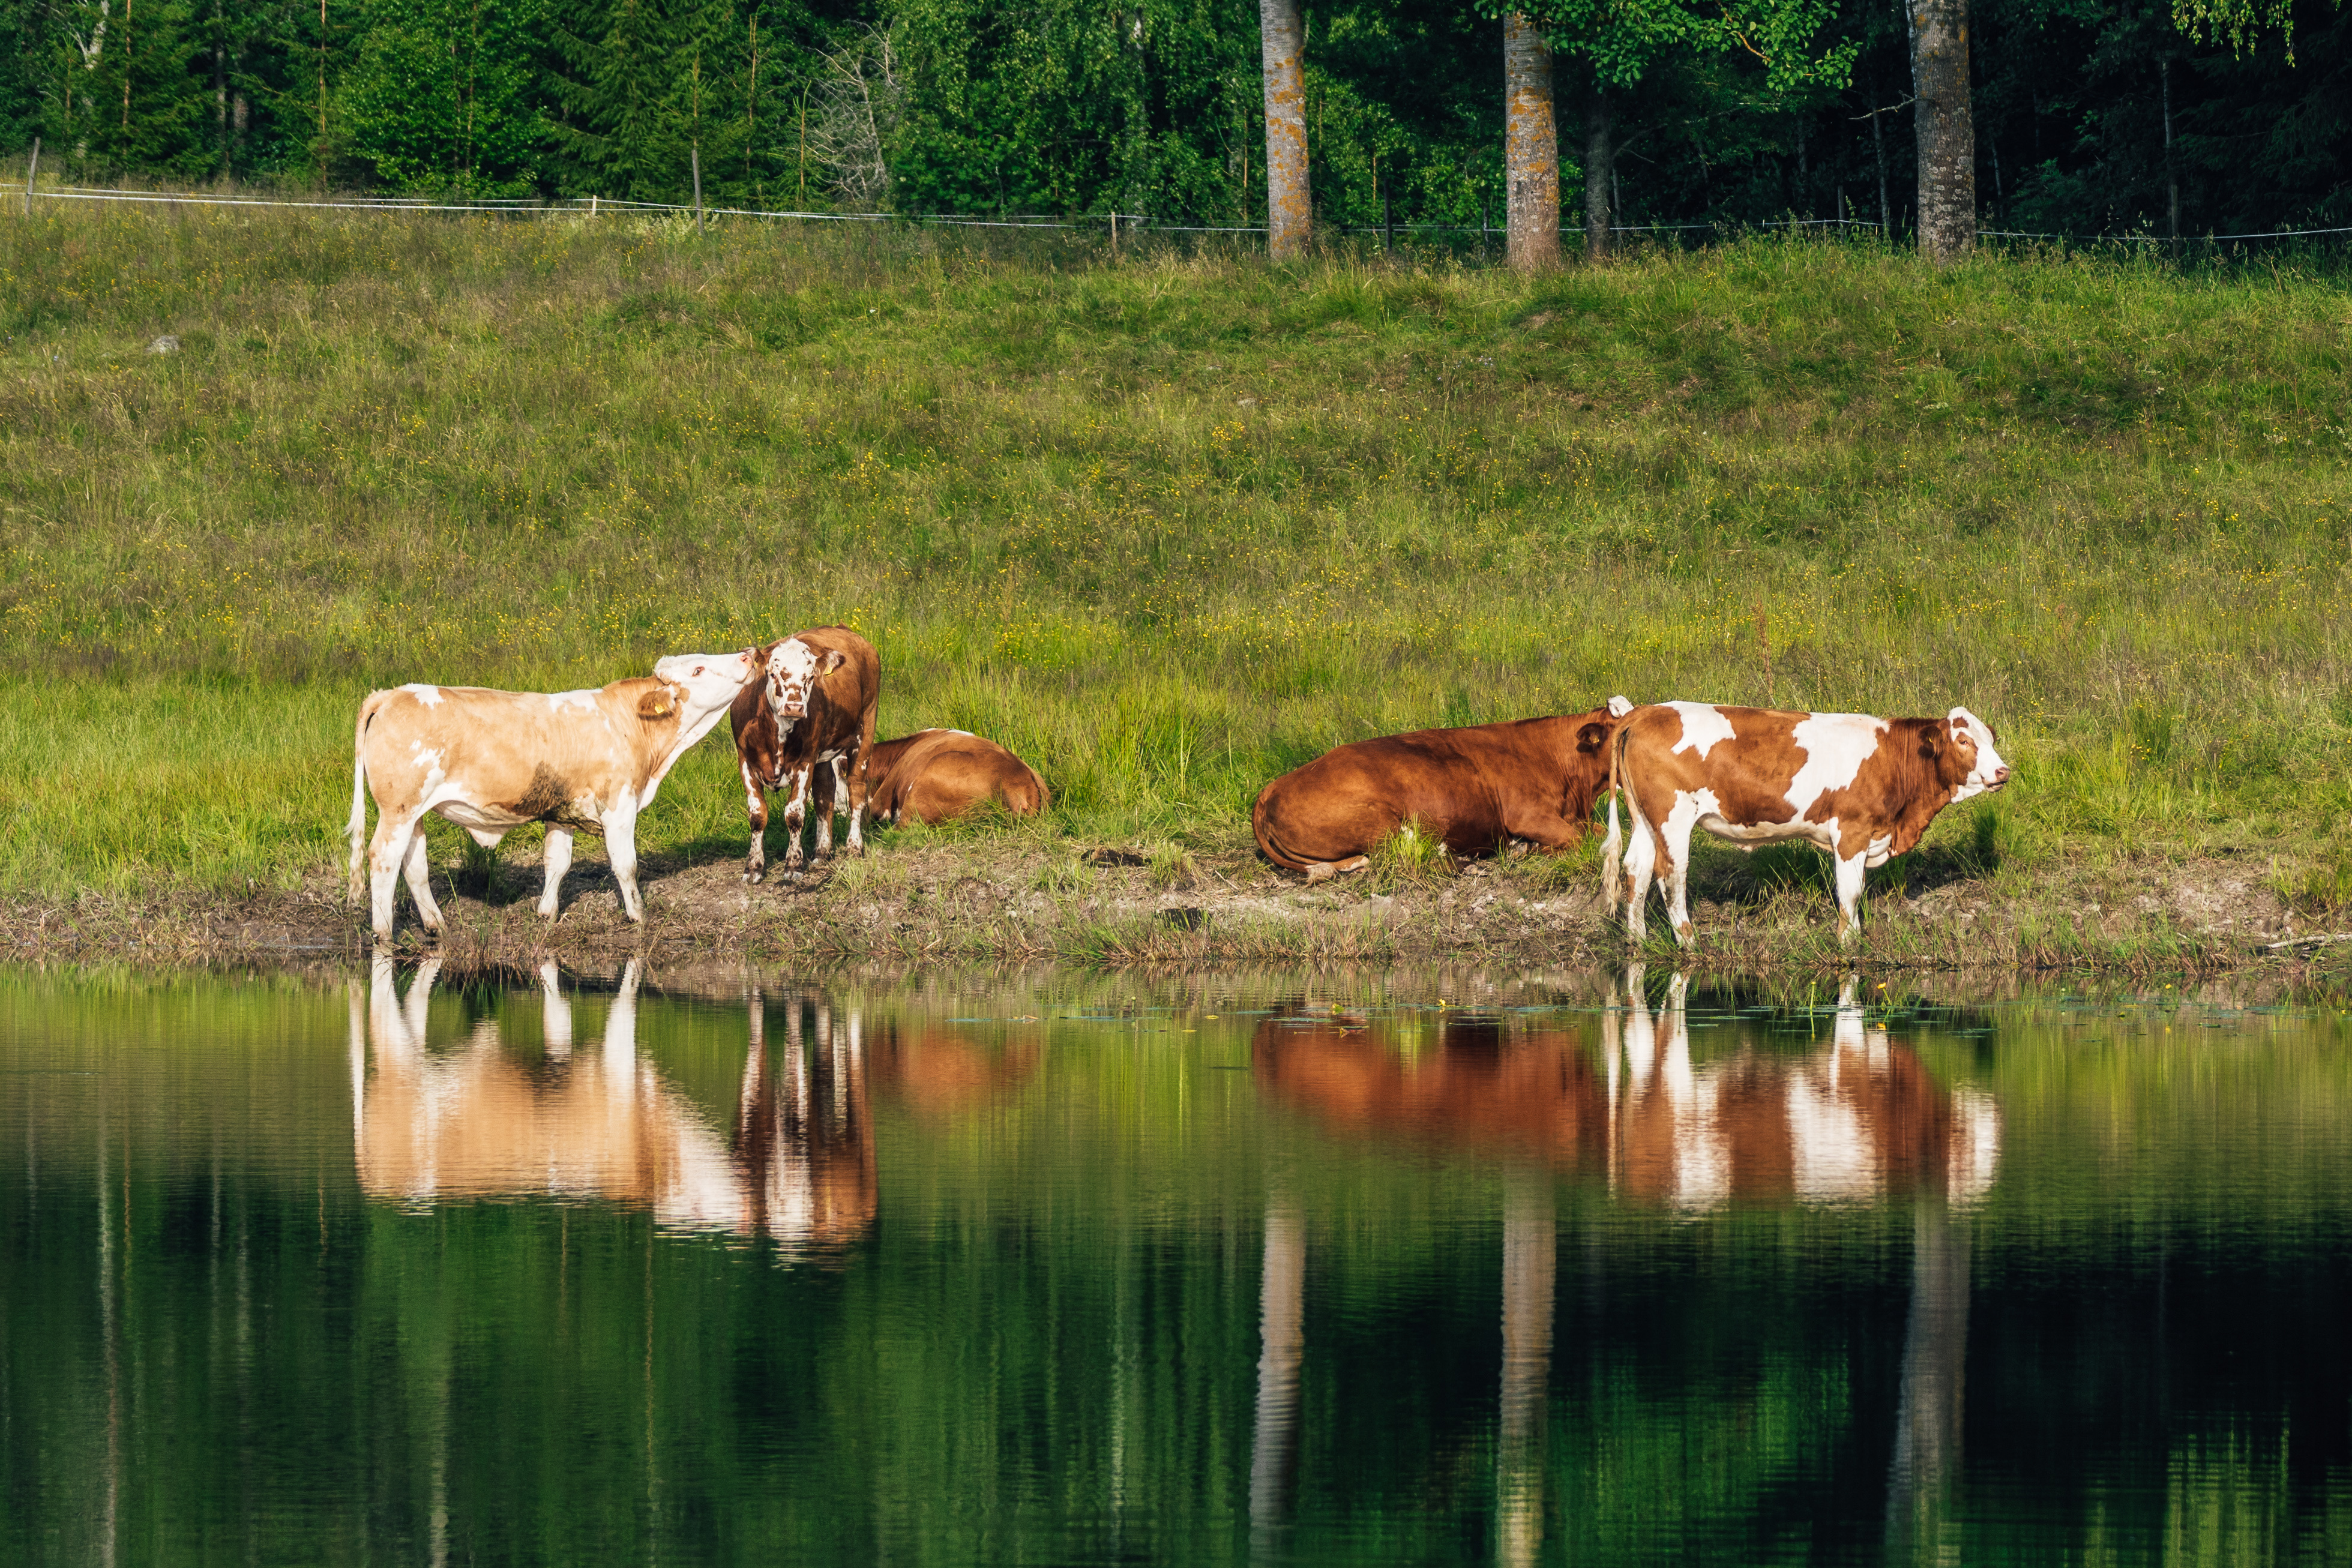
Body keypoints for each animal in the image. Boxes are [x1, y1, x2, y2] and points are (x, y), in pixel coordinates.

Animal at [344, 649, 760, 942]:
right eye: (698, 670)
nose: (748, 653)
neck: (630, 725)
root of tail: (391, 693)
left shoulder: (563, 813)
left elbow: (557, 863)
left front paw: (546, 914)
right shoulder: (619, 805)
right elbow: (626, 865)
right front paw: (638, 917)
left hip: (413, 814)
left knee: (413, 866)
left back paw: (436, 926)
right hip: (398, 810)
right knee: (383, 860)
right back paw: (384, 934)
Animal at [729, 626, 881, 883]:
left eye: (809, 678)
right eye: (773, 674)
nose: (795, 707)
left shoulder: (805, 761)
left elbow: (794, 814)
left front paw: (793, 864)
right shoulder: (746, 761)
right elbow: (757, 815)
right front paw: (754, 867)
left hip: (866, 727)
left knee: (857, 790)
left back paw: (854, 846)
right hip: (823, 754)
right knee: (825, 794)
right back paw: (822, 851)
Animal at [1251, 699, 1632, 883]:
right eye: (1625, 731)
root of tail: (1271, 788)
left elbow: (1596, 831)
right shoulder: (1529, 815)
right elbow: (1577, 839)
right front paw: (1532, 849)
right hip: (1378, 822)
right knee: (1401, 857)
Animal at [1602, 703, 2012, 947]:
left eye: (1991, 739)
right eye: (1963, 741)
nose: (2003, 771)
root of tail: (1643, 712)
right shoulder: (1852, 830)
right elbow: (1851, 891)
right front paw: (1849, 943)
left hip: (1644, 818)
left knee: (1636, 869)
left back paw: (1637, 940)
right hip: (1673, 816)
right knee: (1671, 873)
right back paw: (1689, 943)